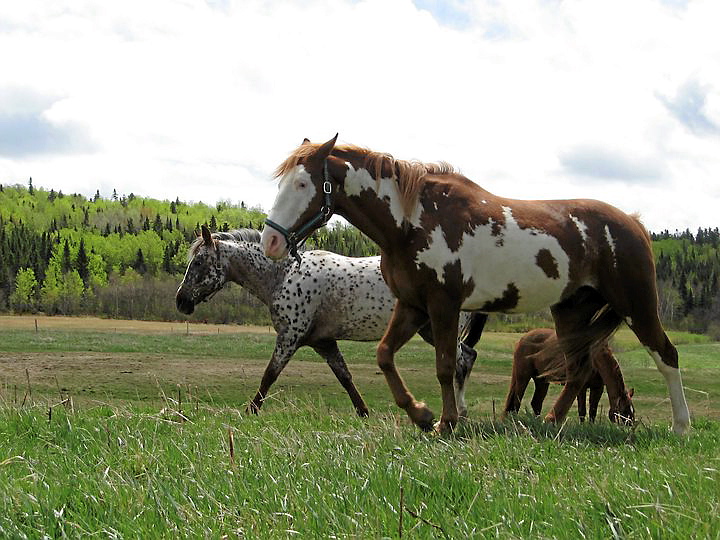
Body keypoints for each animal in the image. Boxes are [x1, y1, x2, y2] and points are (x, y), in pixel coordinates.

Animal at [176, 226, 486, 416]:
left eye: (199, 262)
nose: (181, 301)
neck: (283, 274)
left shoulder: (289, 338)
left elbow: (269, 375)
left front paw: (250, 411)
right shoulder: (323, 343)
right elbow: (345, 378)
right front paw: (364, 413)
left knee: (461, 362)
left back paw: (458, 413)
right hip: (429, 331)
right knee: (468, 357)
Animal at [504, 326, 632, 424]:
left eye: (632, 410)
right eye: (624, 411)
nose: (630, 425)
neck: (596, 359)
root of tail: (522, 339)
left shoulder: (597, 388)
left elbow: (593, 410)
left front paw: (591, 426)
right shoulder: (582, 388)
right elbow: (582, 410)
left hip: (541, 381)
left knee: (536, 403)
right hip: (522, 377)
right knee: (516, 401)